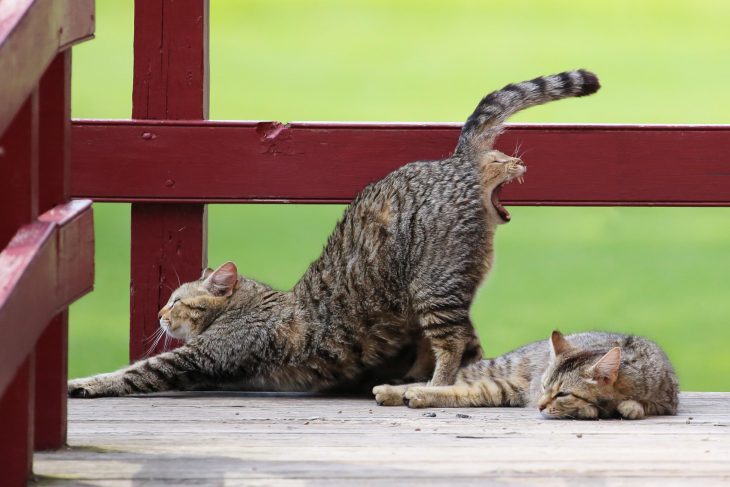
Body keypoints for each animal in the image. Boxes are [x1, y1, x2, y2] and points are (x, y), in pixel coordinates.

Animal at [69, 70, 596, 398]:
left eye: (177, 301)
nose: (159, 313)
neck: (255, 303)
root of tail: (452, 161)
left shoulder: (201, 358)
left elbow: (133, 372)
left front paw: (86, 382)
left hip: (433, 287)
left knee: (451, 346)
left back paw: (432, 386)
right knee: (463, 344)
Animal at [372, 334, 680, 422]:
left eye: (562, 393)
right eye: (545, 387)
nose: (539, 404)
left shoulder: (668, 401)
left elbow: (640, 405)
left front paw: (629, 406)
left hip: (499, 389)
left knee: (460, 390)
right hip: (496, 373)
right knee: (442, 383)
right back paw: (395, 391)